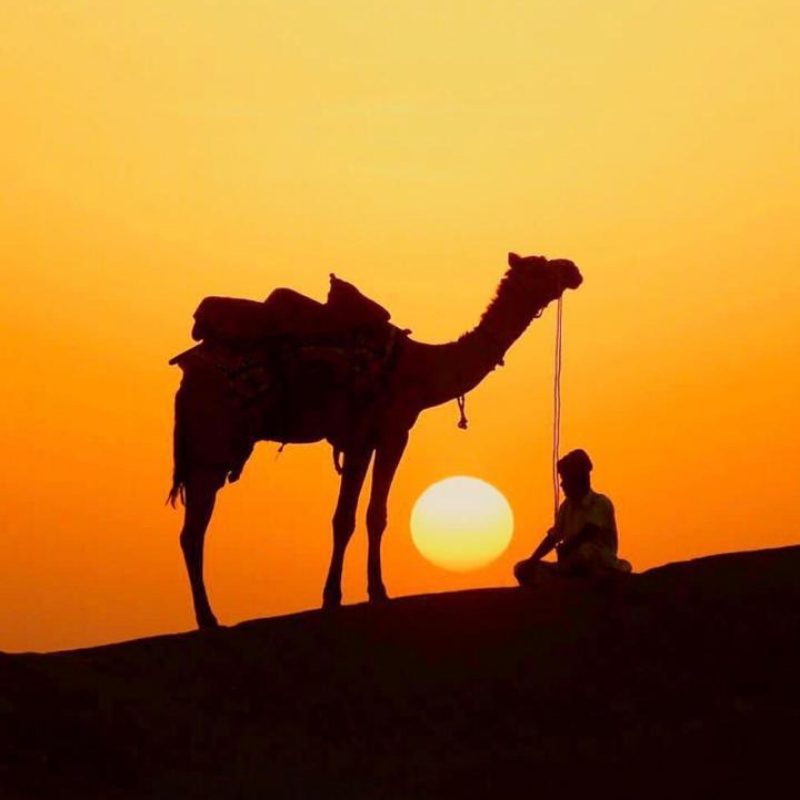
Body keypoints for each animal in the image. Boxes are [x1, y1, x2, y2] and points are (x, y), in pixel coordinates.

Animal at [170, 253, 580, 628]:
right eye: (541, 265)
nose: (573, 269)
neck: (422, 368)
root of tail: (189, 371)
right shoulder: (392, 431)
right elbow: (363, 516)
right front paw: (361, 594)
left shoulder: (363, 440)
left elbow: (357, 516)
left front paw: (352, 593)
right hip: (212, 445)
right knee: (193, 531)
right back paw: (208, 618)